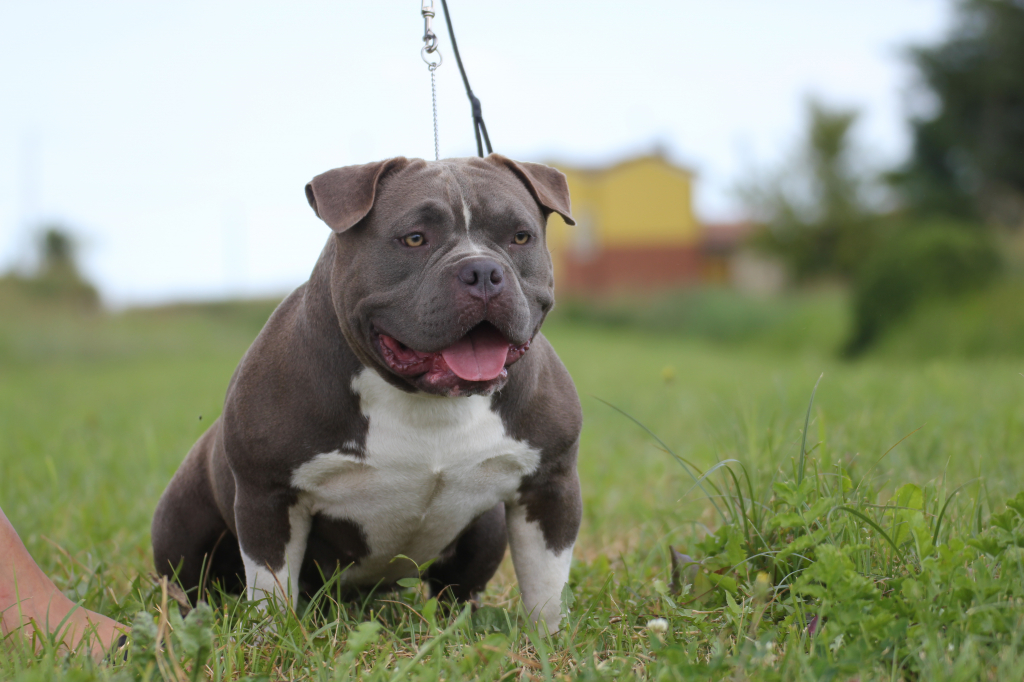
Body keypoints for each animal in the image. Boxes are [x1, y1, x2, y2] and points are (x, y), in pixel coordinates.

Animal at [151, 155, 582, 633]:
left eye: (520, 237)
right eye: (414, 238)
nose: (483, 272)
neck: (429, 401)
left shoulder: (550, 486)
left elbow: (546, 585)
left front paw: (548, 638)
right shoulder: (269, 497)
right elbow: (271, 591)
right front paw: (275, 637)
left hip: (486, 530)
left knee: (457, 589)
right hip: (182, 527)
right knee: (192, 585)